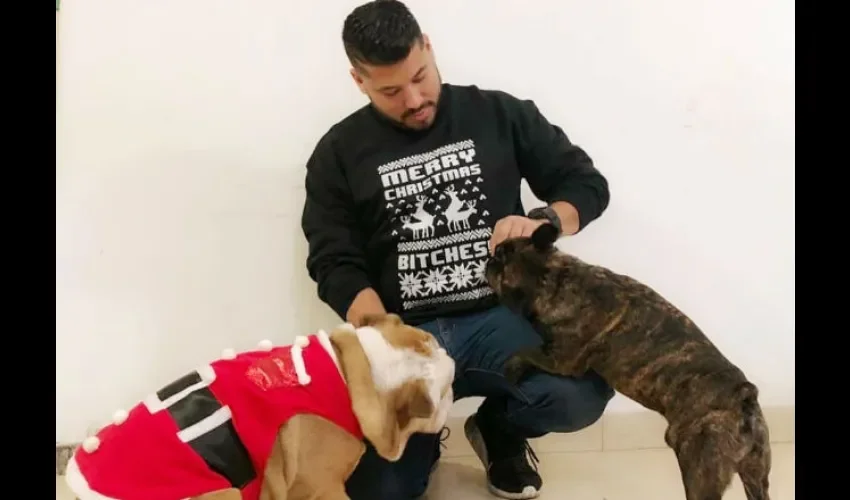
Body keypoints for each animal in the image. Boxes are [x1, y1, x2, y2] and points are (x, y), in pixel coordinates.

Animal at [63, 314, 454, 498]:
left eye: (430, 339)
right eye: (446, 391)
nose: (449, 354)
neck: (359, 369)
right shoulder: (323, 488)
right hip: (222, 494)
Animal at [484, 225, 768, 500]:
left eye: (501, 257)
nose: (489, 259)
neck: (555, 278)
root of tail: (743, 397)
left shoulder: (561, 360)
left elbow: (526, 352)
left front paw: (511, 368)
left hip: (700, 469)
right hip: (756, 475)